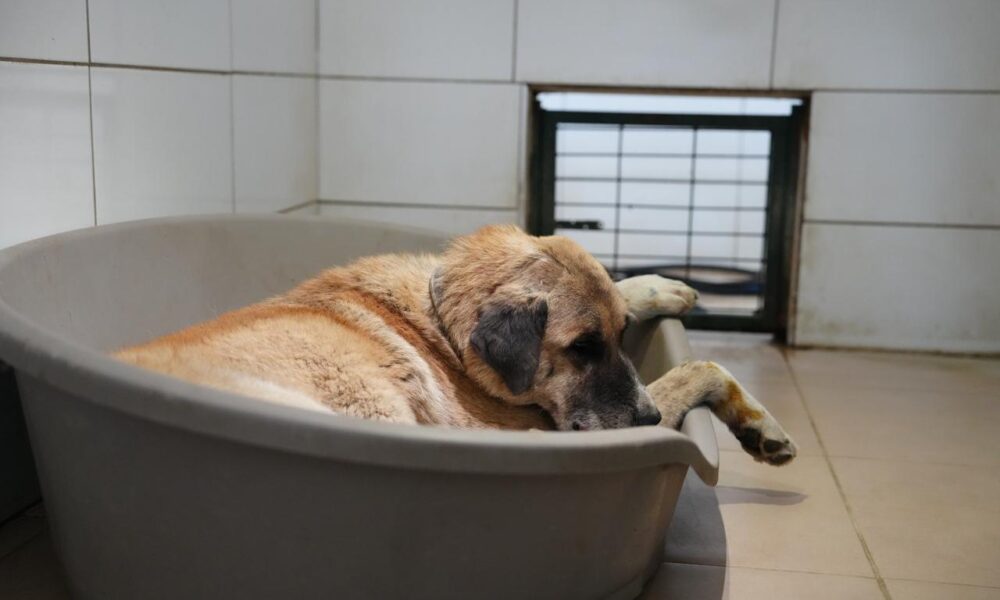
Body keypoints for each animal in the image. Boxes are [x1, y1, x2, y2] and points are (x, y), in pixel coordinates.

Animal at [115, 225, 796, 465]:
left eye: (620, 337)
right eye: (582, 349)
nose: (649, 420)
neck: (441, 324)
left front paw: (657, 286)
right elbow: (702, 367)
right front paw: (759, 424)